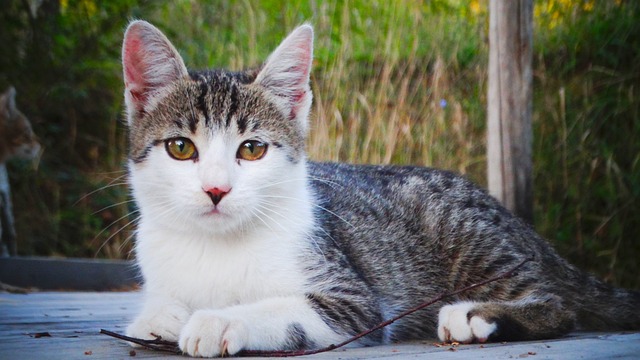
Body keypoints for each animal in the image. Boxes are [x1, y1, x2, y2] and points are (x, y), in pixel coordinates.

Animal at [121, 21, 640, 356]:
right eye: (181, 148)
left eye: (251, 150)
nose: (216, 190)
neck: (215, 247)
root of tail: (519, 225)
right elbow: (162, 305)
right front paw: (162, 316)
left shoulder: (354, 302)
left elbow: (283, 310)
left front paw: (218, 318)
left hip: (465, 232)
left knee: (558, 305)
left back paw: (476, 315)